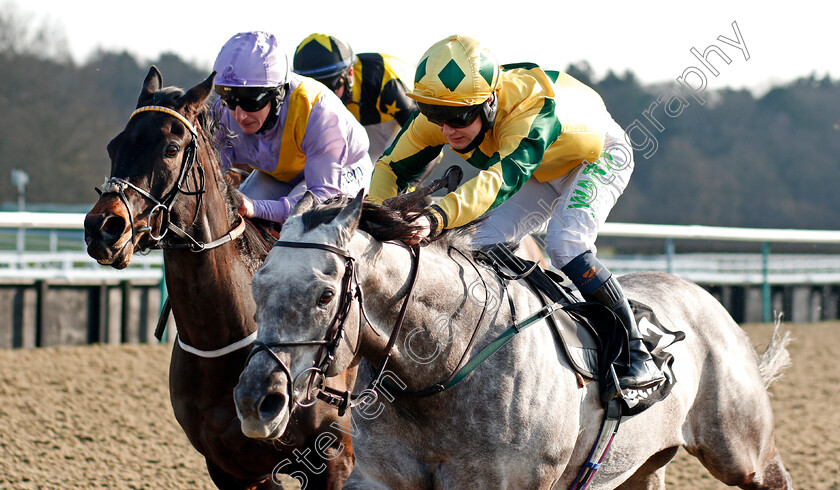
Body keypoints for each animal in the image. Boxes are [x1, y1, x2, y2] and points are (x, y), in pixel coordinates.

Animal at [233, 192, 792, 490]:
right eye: (257, 284)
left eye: (326, 294)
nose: (256, 401)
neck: (442, 372)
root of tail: (706, 299)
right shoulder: (379, 478)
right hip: (637, 465)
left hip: (741, 451)